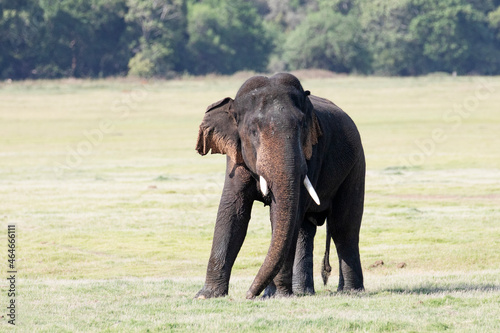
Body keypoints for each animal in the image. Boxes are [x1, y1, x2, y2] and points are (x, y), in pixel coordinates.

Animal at [194, 72, 364, 298]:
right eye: (253, 131)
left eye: (302, 127)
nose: (249, 295)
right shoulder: (236, 158)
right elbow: (232, 212)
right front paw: (206, 295)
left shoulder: (312, 154)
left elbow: (280, 215)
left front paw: (278, 295)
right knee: (305, 230)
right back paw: (303, 292)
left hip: (356, 166)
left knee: (343, 228)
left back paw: (351, 292)